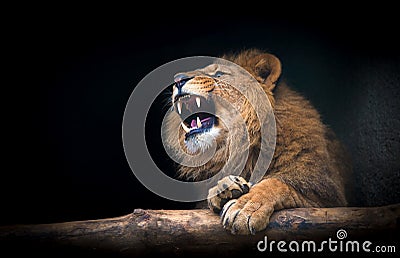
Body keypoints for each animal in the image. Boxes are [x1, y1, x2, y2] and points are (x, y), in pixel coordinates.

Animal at [162, 49, 350, 236]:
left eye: (219, 74)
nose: (178, 79)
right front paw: (224, 187)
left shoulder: (327, 196)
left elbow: (278, 184)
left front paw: (245, 208)